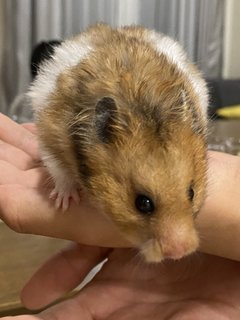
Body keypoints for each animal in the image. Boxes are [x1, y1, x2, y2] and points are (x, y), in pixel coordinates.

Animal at [27, 23, 208, 262]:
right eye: (143, 203)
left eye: (191, 193)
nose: (180, 253)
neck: (144, 109)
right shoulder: (49, 137)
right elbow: (59, 171)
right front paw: (63, 203)